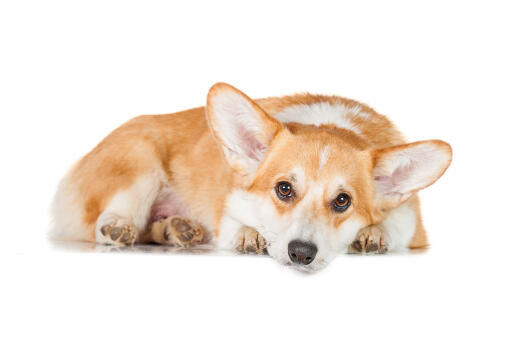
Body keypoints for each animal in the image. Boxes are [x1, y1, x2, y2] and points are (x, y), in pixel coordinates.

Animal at [52, 83, 452, 272]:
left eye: (343, 201)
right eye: (284, 189)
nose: (301, 253)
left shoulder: (411, 221)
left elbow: (393, 225)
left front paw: (374, 232)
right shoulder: (229, 206)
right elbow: (237, 226)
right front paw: (249, 235)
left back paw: (177, 230)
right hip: (140, 157)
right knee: (106, 220)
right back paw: (119, 226)